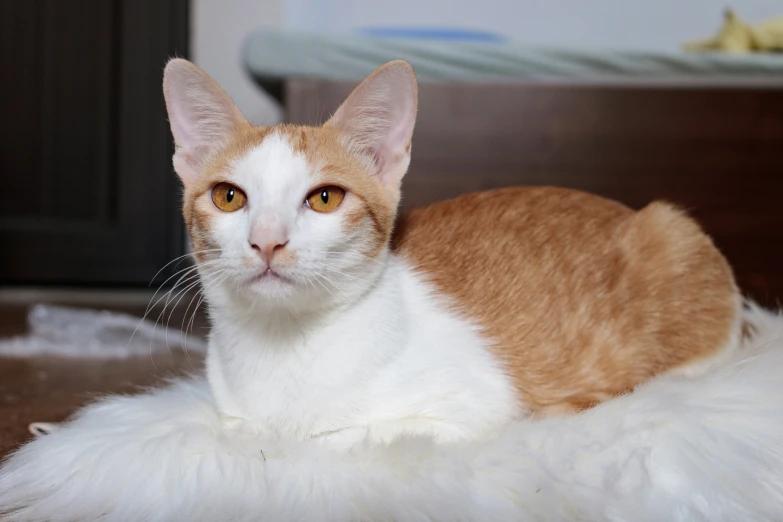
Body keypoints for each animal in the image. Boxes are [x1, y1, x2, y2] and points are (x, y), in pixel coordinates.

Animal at [164, 57, 740, 446]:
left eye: (325, 198)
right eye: (229, 197)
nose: (267, 240)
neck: (284, 348)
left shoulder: (462, 415)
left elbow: (337, 437)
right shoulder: (231, 413)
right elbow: (240, 429)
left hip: (673, 236)